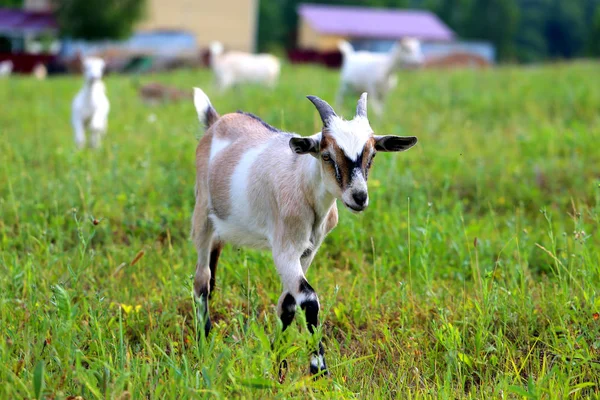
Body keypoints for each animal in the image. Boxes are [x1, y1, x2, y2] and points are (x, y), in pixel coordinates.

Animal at [191, 87, 418, 378]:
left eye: (372, 155)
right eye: (326, 155)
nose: (359, 197)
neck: (303, 183)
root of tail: (217, 121)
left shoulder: (309, 250)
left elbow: (288, 303)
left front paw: (278, 364)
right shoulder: (284, 249)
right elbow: (309, 299)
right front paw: (318, 369)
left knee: (213, 263)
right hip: (202, 212)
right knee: (202, 279)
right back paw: (203, 341)